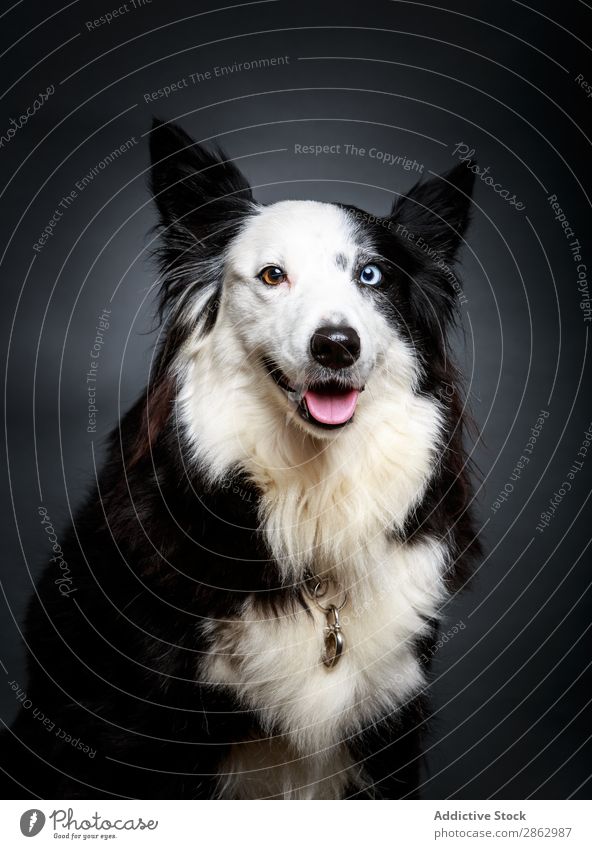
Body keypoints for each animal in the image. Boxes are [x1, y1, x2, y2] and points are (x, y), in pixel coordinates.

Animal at [2, 121, 478, 800]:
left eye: (371, 275)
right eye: (273, 275)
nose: (336, 345)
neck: (310, 501)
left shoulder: (388, 720)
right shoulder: (148, 731)